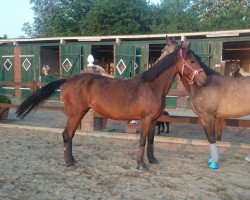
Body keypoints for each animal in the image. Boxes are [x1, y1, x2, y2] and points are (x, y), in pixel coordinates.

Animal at [16, 38, 207, 170]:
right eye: (191, 61)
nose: (204, 79)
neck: (151, 86)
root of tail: (68, 79)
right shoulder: (145, 120)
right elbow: (142, 140)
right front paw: (141, 164)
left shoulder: (154, 120)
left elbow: (151, 141)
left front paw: (152, 160)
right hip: (76, 113)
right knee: (66, 134)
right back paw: (69, 163)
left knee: (70, 135)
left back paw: (72, 160)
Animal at [161, 37, 250, 169]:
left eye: (163, 51)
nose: (203, 80)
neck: (203, 87)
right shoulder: (203, 117)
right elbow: (208, 137)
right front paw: (211, 159)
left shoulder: (209, 116)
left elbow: (212, 137)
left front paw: (214, 162)